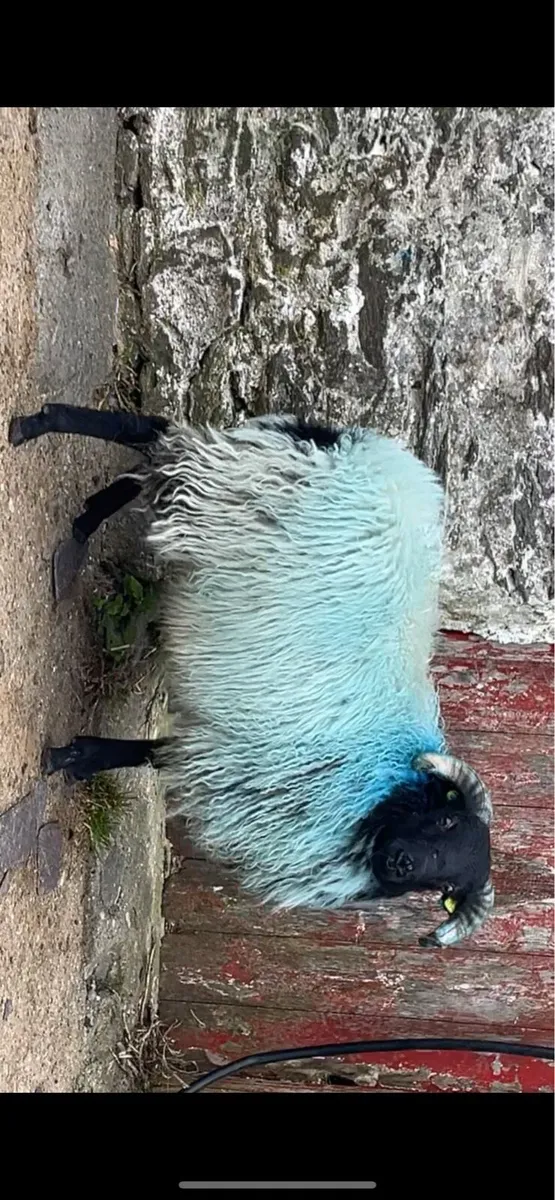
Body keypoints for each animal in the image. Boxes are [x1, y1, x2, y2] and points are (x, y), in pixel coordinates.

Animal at [9, 402, 494, 947]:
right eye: (448, 817)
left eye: (444, 889)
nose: (403, 863)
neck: (381, 789)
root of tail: (371, 447)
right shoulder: (234, 756)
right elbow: (138, 755)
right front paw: (68, 757)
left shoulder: (232, 764)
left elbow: (146, 757)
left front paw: (72, 758)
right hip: (239, 481)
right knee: (152, 435)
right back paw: (35, 432)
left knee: (152, 462)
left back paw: (78, 526)